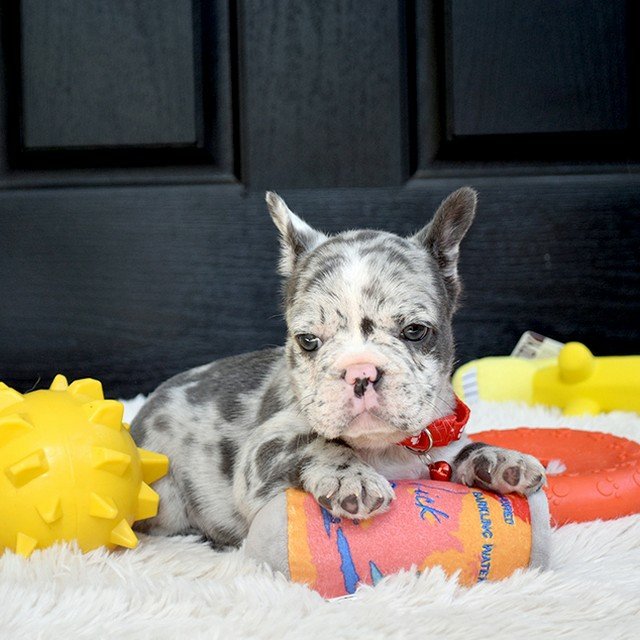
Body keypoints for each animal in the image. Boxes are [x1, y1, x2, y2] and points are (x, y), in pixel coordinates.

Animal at [130, 188, 546, 547]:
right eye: (307, 340)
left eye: (415, 331)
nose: (360, 371)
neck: (384, 448)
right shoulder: (260, 455)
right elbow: (317, 443)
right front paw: (352, 479)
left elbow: (462, 448)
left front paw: (499, 458)